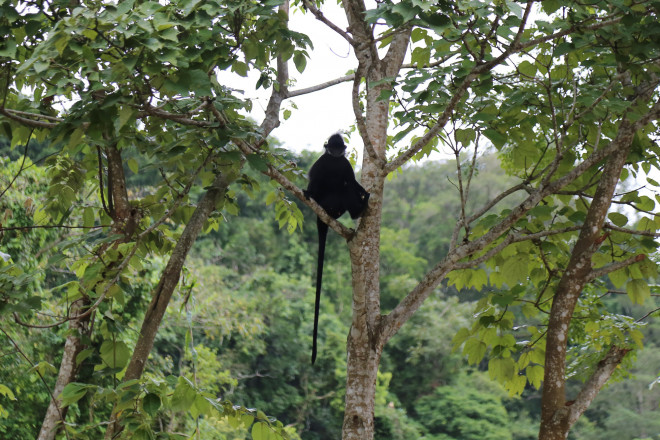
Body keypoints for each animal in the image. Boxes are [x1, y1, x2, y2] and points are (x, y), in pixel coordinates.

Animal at [306, 134, 372, 364]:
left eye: (339, 147)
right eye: (332, 147)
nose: (335, 152)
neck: (334, 162)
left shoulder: (343, 163)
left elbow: (351, 181)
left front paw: (363, 191)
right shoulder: (322, 162)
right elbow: (315, 181)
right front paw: (307, 193)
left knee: (346, 185)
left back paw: (359, 209)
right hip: (330, 203)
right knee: (342, 189)